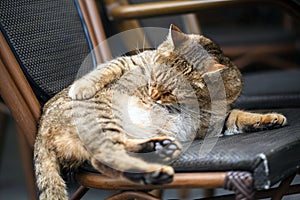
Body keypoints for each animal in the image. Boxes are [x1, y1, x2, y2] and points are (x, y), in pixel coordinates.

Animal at [34, 24, 288, 198]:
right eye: (154, 78)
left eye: (171, 92)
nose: (152, 95)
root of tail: (40, 130)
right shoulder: (136, 61)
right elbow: (110, 67)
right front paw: (83, 85)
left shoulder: (213, 123)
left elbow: (239, 117)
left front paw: (270, 118)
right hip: (103, 119)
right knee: (105, 157)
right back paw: (156, 170)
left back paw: (156, 147)